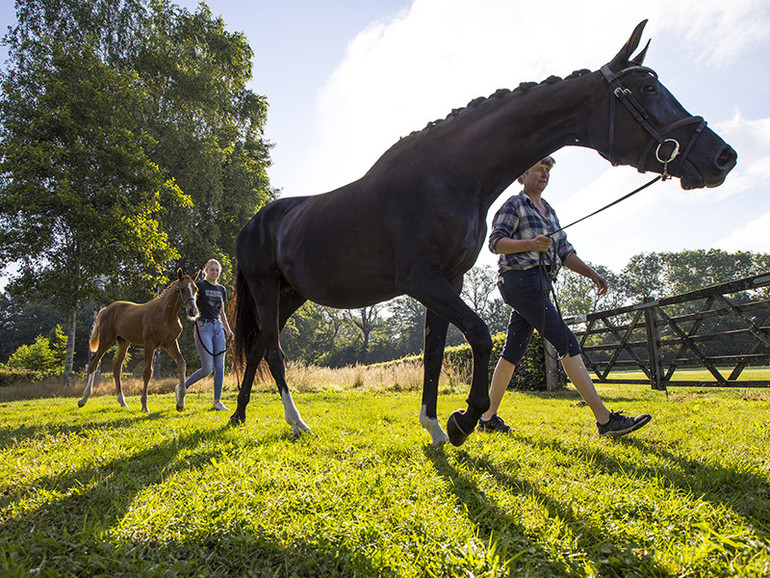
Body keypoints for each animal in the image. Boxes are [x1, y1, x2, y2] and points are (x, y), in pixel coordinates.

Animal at [228, 21, 732, 446]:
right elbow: (479, 335)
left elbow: (434, 352)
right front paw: (465, 419)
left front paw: (435, 425)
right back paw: (295, 422)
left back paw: (239, 415)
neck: (449, 175)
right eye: (647, 88)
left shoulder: (447, 280)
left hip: (292, 295)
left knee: (257, 347)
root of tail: (255, 222)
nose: (723, 157)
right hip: (266, 288)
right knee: (273, 351)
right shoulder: (422, 280)